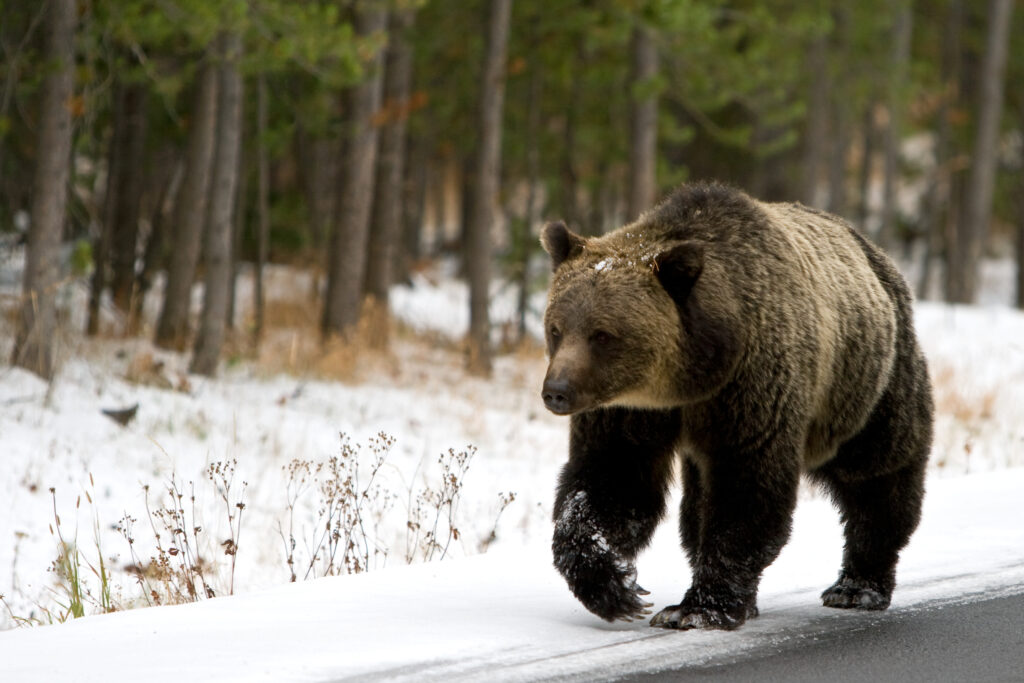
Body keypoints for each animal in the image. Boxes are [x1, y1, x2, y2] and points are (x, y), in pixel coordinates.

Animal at [540, 182, 933, 630]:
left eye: (602, 335)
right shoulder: (630, 410)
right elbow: (611, 480)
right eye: (556, 328)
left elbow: (745, 488)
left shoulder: (750, 387)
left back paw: (857, 586)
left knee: (878, 475)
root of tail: (878, 255)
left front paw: (699, 607)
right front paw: (615, 587)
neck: (692, 378)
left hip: (866, 383)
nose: (556, 391)